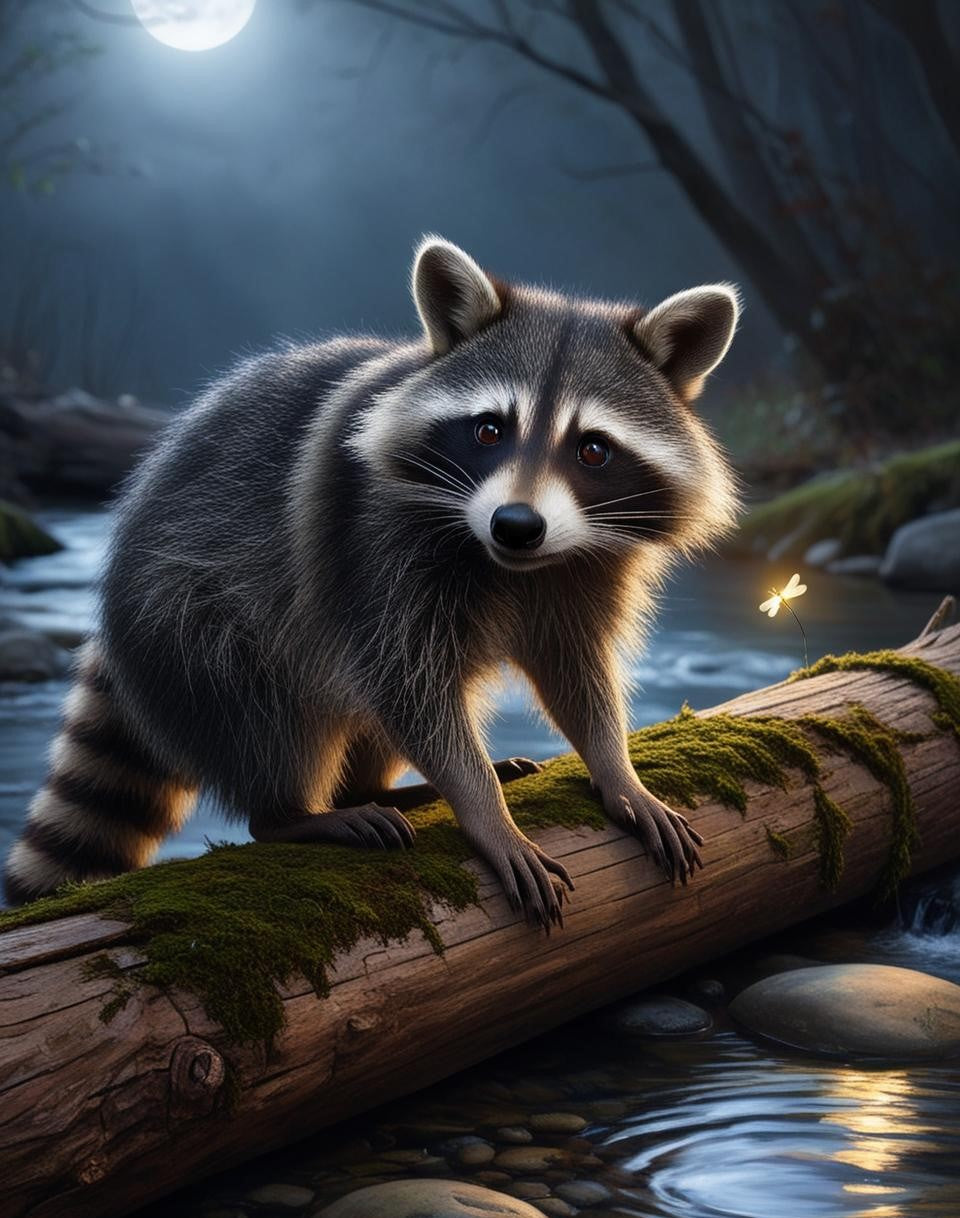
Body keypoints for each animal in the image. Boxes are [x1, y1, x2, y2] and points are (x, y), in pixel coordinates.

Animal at [3, 237, 740, 926]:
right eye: (489, 430)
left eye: (592, 449)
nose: (516, 525)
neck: (511, 562)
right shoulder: (366, 539)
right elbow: (409, 685)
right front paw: (484, 809)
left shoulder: (588, 562)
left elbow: (574, 668)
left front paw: (616, 769)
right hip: (187, 621)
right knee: (268, 714)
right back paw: (296, 811)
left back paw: (380, 789)